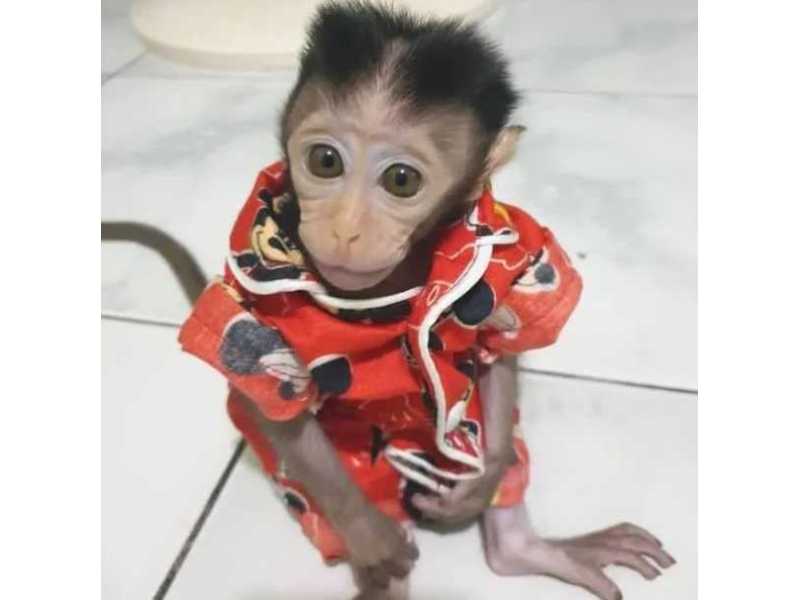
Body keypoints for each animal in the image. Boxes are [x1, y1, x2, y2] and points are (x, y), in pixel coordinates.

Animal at [175, 2, 677, 599]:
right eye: (324, 162)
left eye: (400, 179)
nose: (345, 228)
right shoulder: (253, 311)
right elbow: (274, 403)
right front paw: (373, 537)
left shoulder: (515, 243)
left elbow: (498, 347)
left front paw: (483, 479)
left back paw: (520, 545)